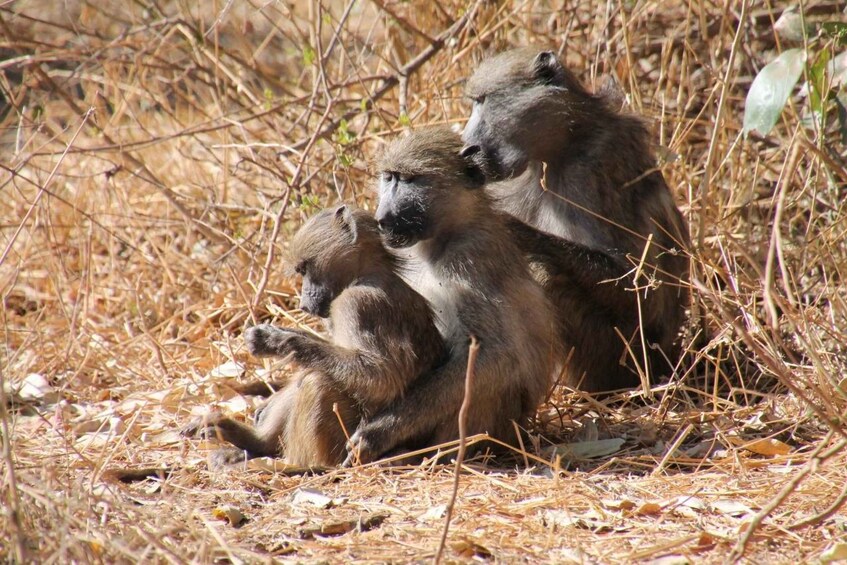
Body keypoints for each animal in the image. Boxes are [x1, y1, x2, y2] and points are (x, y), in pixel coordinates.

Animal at [183, 204, 446, 467]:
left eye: (304, 268)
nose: (303, 303)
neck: (365, 275)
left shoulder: (358, 304)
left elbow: (383, 377)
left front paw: (278, 341)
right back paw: (253, 441)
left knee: (316, 380)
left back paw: (295, 464)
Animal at [343, 126, 558, 465]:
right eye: (389, 178)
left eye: (410, 180)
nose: (382, 218)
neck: (444, 236)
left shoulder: (470, 259)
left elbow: (495, 353)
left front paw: (376, 434)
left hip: (500, 427)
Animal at [460, 47, 690, 392]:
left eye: (482, 101)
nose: (466, 149)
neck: (568, 140)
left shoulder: (593, 170)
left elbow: (639, 288)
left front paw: (512, 231)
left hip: (623, 357)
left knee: (546, 274)